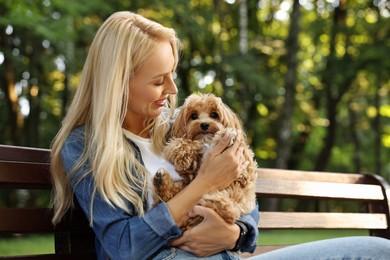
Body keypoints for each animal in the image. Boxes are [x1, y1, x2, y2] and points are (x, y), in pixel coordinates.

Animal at [153, 92, 258, 229]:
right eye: (194, 116)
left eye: (214, 114)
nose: (204, 124)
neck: (206, 141)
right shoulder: (192, 173)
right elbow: (183, 144)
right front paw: (181, 151)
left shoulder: (245, 169)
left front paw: (227, 134)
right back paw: (161, 181)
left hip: (238, 197)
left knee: (229, 212)